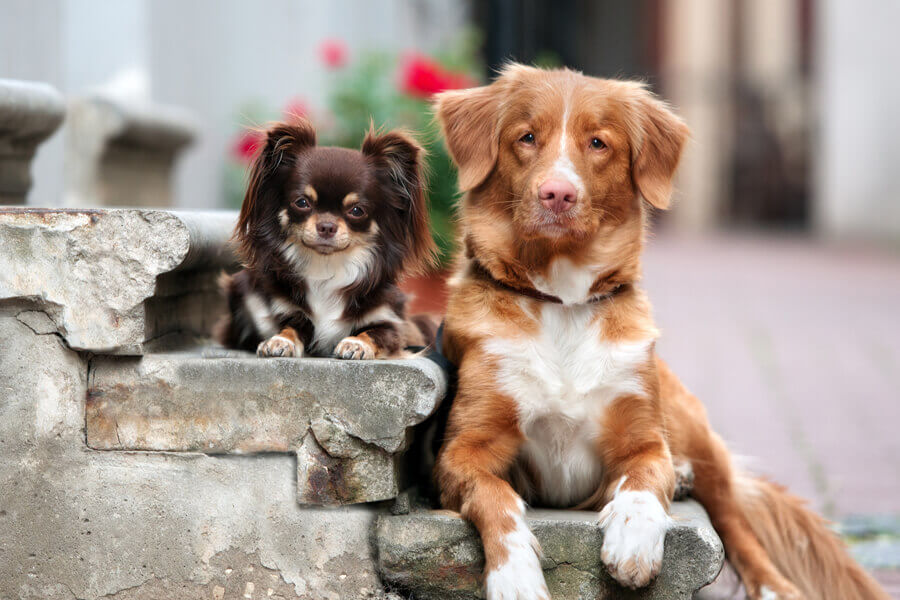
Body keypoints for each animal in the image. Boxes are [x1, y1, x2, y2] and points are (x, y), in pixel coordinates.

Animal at [430, 64, 884, 600]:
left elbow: (646, 479)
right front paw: (515, 576)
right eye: (526, 137)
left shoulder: (642, 437)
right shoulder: (463, 452)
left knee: (736, 526)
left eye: (598, 143)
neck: (563, 303)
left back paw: (771, 583)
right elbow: (496, 498)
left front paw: (634, 542)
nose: (557, 193)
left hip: (696, 434)